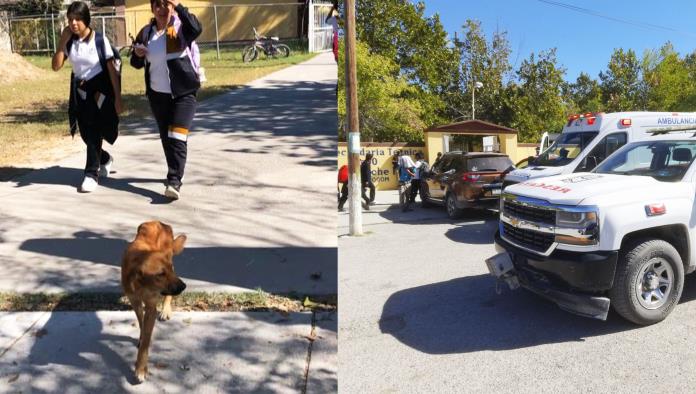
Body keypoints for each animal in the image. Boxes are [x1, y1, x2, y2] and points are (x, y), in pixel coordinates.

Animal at [121, 220, 188, 384]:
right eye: (160, 274)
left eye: (167, 271)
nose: (184, 286)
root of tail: (159, 222)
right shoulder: (135, 301)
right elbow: (141, 322)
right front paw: (140, 336)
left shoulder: (151, 306)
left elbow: (146, 340)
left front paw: (140, 369)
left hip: (170, 257)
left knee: (167, 296)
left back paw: (165, 310)